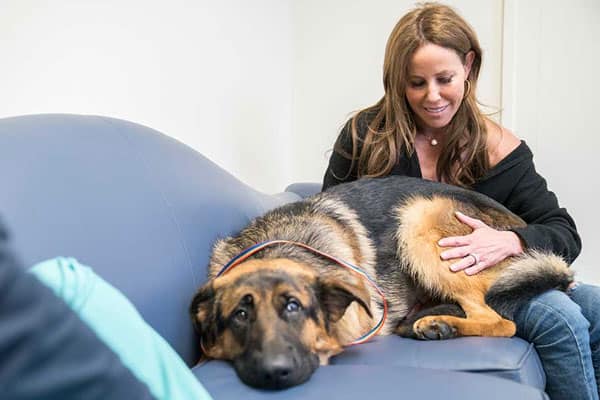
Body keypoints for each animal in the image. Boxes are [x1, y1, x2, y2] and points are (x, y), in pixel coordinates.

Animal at [189, 175, 572, 388]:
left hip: (419, 216)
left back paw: (438, 324)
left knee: (500, 322)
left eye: (295, 311)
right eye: (241, 317)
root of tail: (518, 228)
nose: (274, 371)